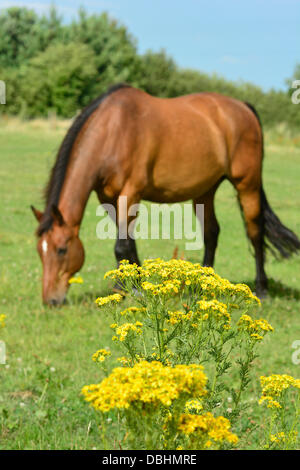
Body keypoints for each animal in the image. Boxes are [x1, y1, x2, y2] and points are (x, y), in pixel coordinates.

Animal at [31, 84, 300, 304]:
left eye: (61, 250)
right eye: (40, 251)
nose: (51, 300)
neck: (114, 131)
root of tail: (243, 107)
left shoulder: (131, 191)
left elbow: (121, 245)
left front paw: (129, 289)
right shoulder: (108, 198)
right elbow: (128, 243)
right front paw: (129, 286)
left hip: (248, 184)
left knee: (255, 231)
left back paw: (262, 289)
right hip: (205, 190)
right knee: (212, 233)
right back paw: (202, 286)